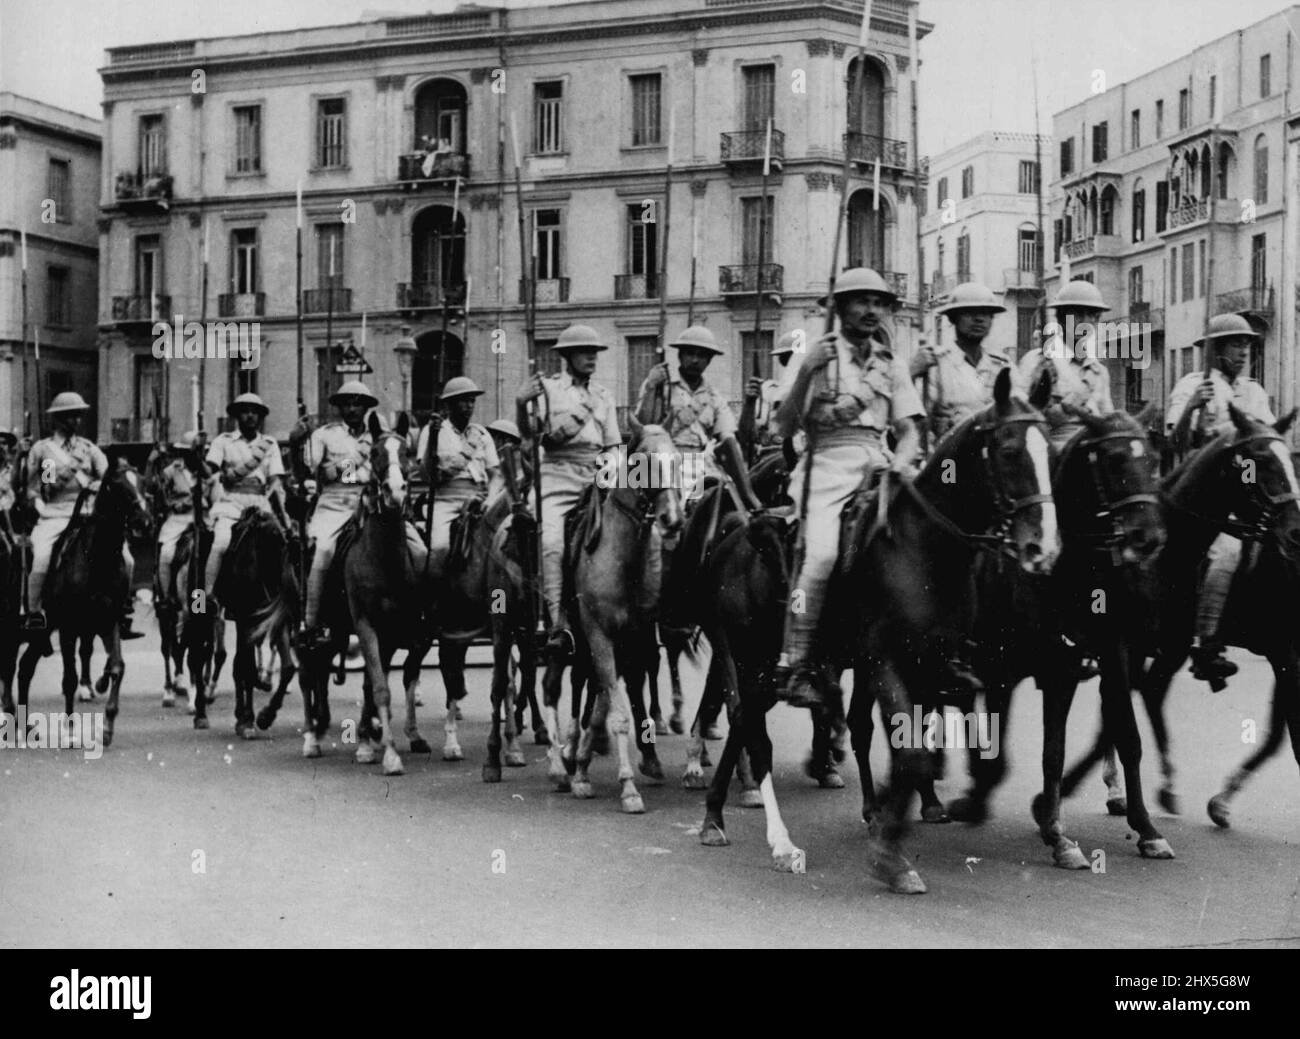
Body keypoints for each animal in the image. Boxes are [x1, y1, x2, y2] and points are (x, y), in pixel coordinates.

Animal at [13, 462, 152, 749]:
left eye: (143, 483)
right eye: (117, 486)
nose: (144, 522)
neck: (98, 558)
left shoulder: (109, 620)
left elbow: (117, 667)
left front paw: (107, 726)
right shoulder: (69, 628)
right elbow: (70, 678)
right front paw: (70, 731)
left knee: (25, 668)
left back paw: (27, 727)